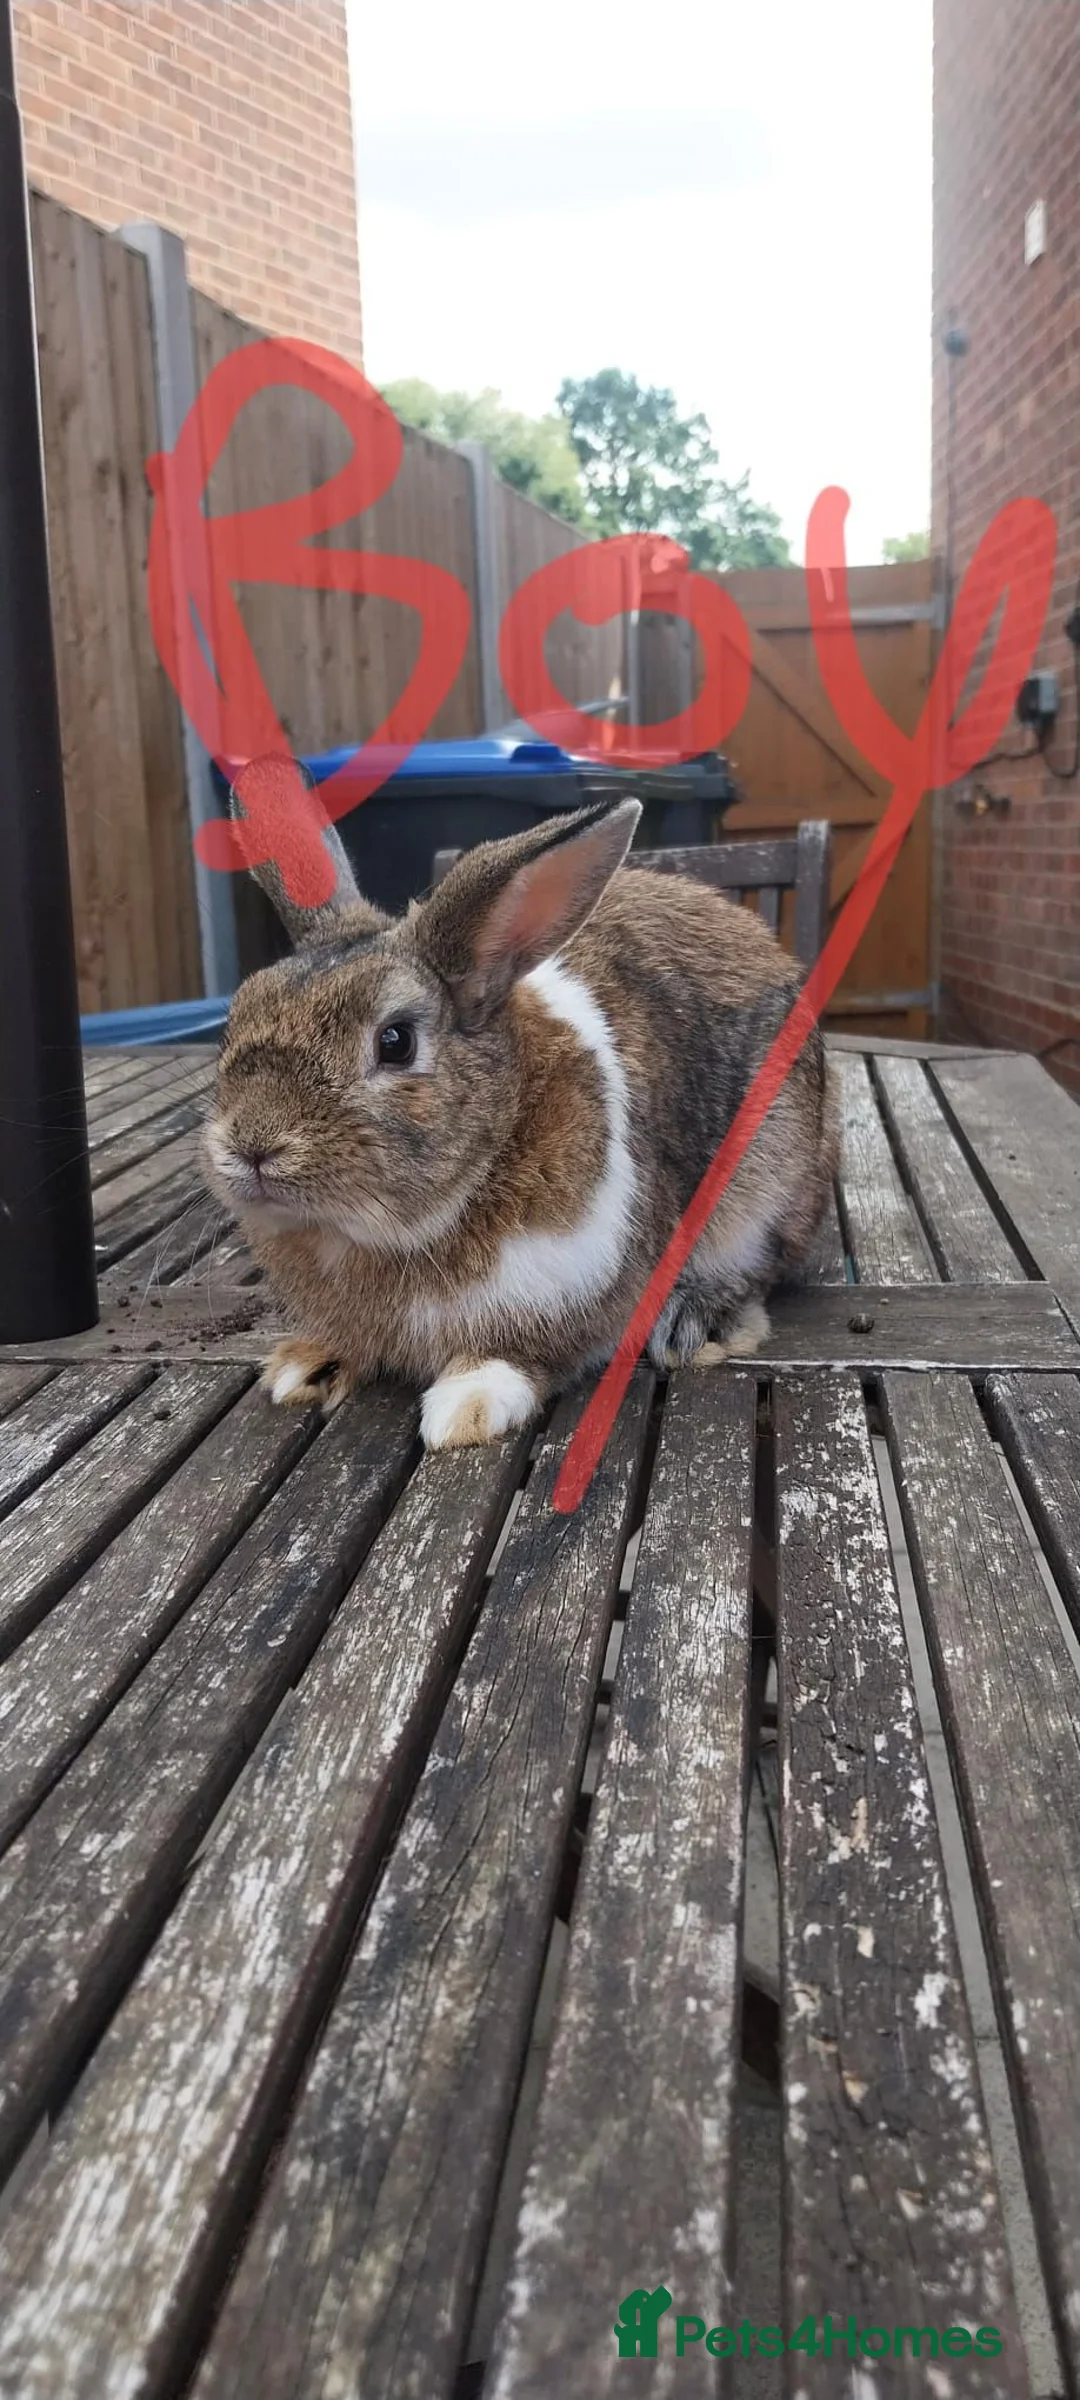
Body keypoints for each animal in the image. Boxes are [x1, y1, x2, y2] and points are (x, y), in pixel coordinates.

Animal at [203, 778, 839, 1450]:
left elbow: (526, 1354)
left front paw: (466, 1407)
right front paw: (303, 1366)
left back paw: (697, 1323)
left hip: (766, 1188)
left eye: (396, 1041)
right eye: (235, 1018)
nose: (251, 1146)